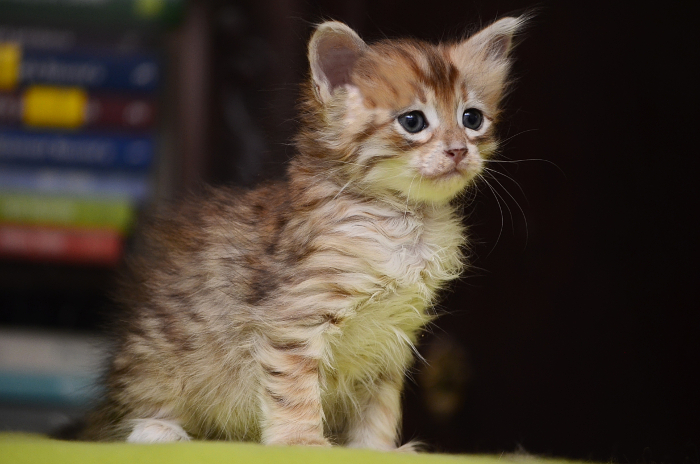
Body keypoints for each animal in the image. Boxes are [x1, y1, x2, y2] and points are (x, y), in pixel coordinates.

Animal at [81, 16, 526, 450]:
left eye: (472, 119)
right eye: (413, 122)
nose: (458, 150)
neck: (405, 220)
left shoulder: (392, 339)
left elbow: (380, 405)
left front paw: (376, 448)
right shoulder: (295, 316)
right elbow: (293, 388)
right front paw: (302, 440)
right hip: (158, 363)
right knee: (114, 424)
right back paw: (156, 429)